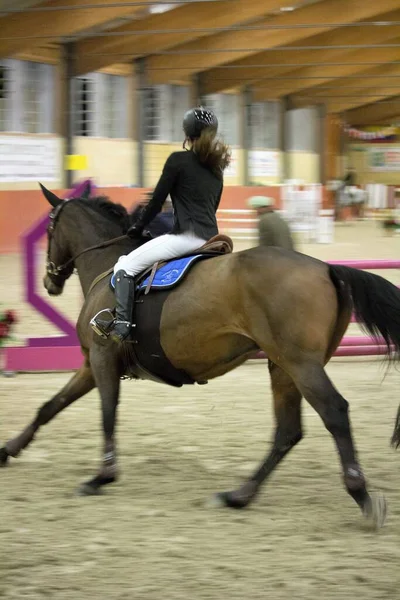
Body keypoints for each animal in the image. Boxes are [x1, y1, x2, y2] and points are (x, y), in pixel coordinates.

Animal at [0, 184, 400, 528]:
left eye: (50, 230)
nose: (49, 282)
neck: (107, 265)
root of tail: (326, 267)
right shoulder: (89, 364)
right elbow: (49, 407)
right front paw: (9, 449)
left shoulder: (101, 360)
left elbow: (108, 415)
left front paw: (102, 476)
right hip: (283, 367)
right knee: (288, 431)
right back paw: (239, 495)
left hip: (301, 365)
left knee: (334, 413)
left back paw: (361, 496)